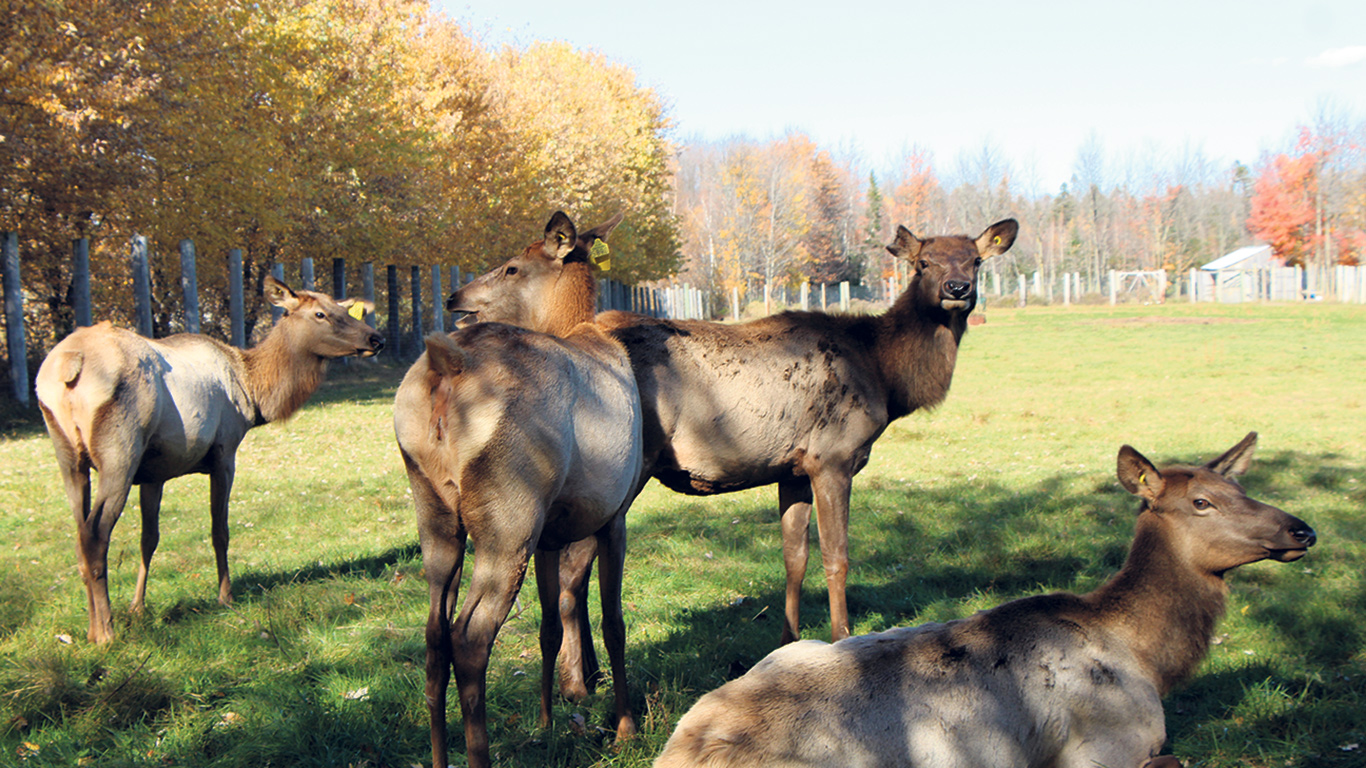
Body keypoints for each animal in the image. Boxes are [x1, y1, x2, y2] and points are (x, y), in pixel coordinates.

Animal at [33, 274, 385, 639]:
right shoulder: (224, 452)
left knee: (78, 533)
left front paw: (138, 606)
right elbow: (220, 530)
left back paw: (91, 627)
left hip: (67, 455)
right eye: (320, 314)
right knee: (95, 534)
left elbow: (149, 538)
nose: (377, 338)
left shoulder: (154, 472)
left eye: (342, 309)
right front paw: (225, 596)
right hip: (120, 450)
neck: (253, 393)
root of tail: (68, 365)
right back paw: (105, 632)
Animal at [393, 210, 642, 765]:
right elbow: (613, 622)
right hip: (509, 514)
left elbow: (550, 626)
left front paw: (547, 721)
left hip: (434, 507)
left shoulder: (552, 533)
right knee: (470, 637)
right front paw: (626, 728)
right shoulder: (614, 513)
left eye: (510, 267)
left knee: (434, 633)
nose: (455, 296)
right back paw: (480, 754)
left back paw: (440, 756)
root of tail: (445, 368)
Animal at [453, 217, 1021, 699]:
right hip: (621, 475)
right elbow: (837, 556)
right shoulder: (834, 455)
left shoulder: (794, 469)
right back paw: (579, 685)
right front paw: (842, 637)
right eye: (923, 262)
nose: (957, 290)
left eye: (975, 260)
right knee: (573, 570)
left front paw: (789, 640)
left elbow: (794, 557)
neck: (886, 376)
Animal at [650, 431, 1311, 765]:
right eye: (1201, 502)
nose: (1301, 530)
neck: (1150, 660)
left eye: (1241, 486)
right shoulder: (1104, 750)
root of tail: (681, 751)